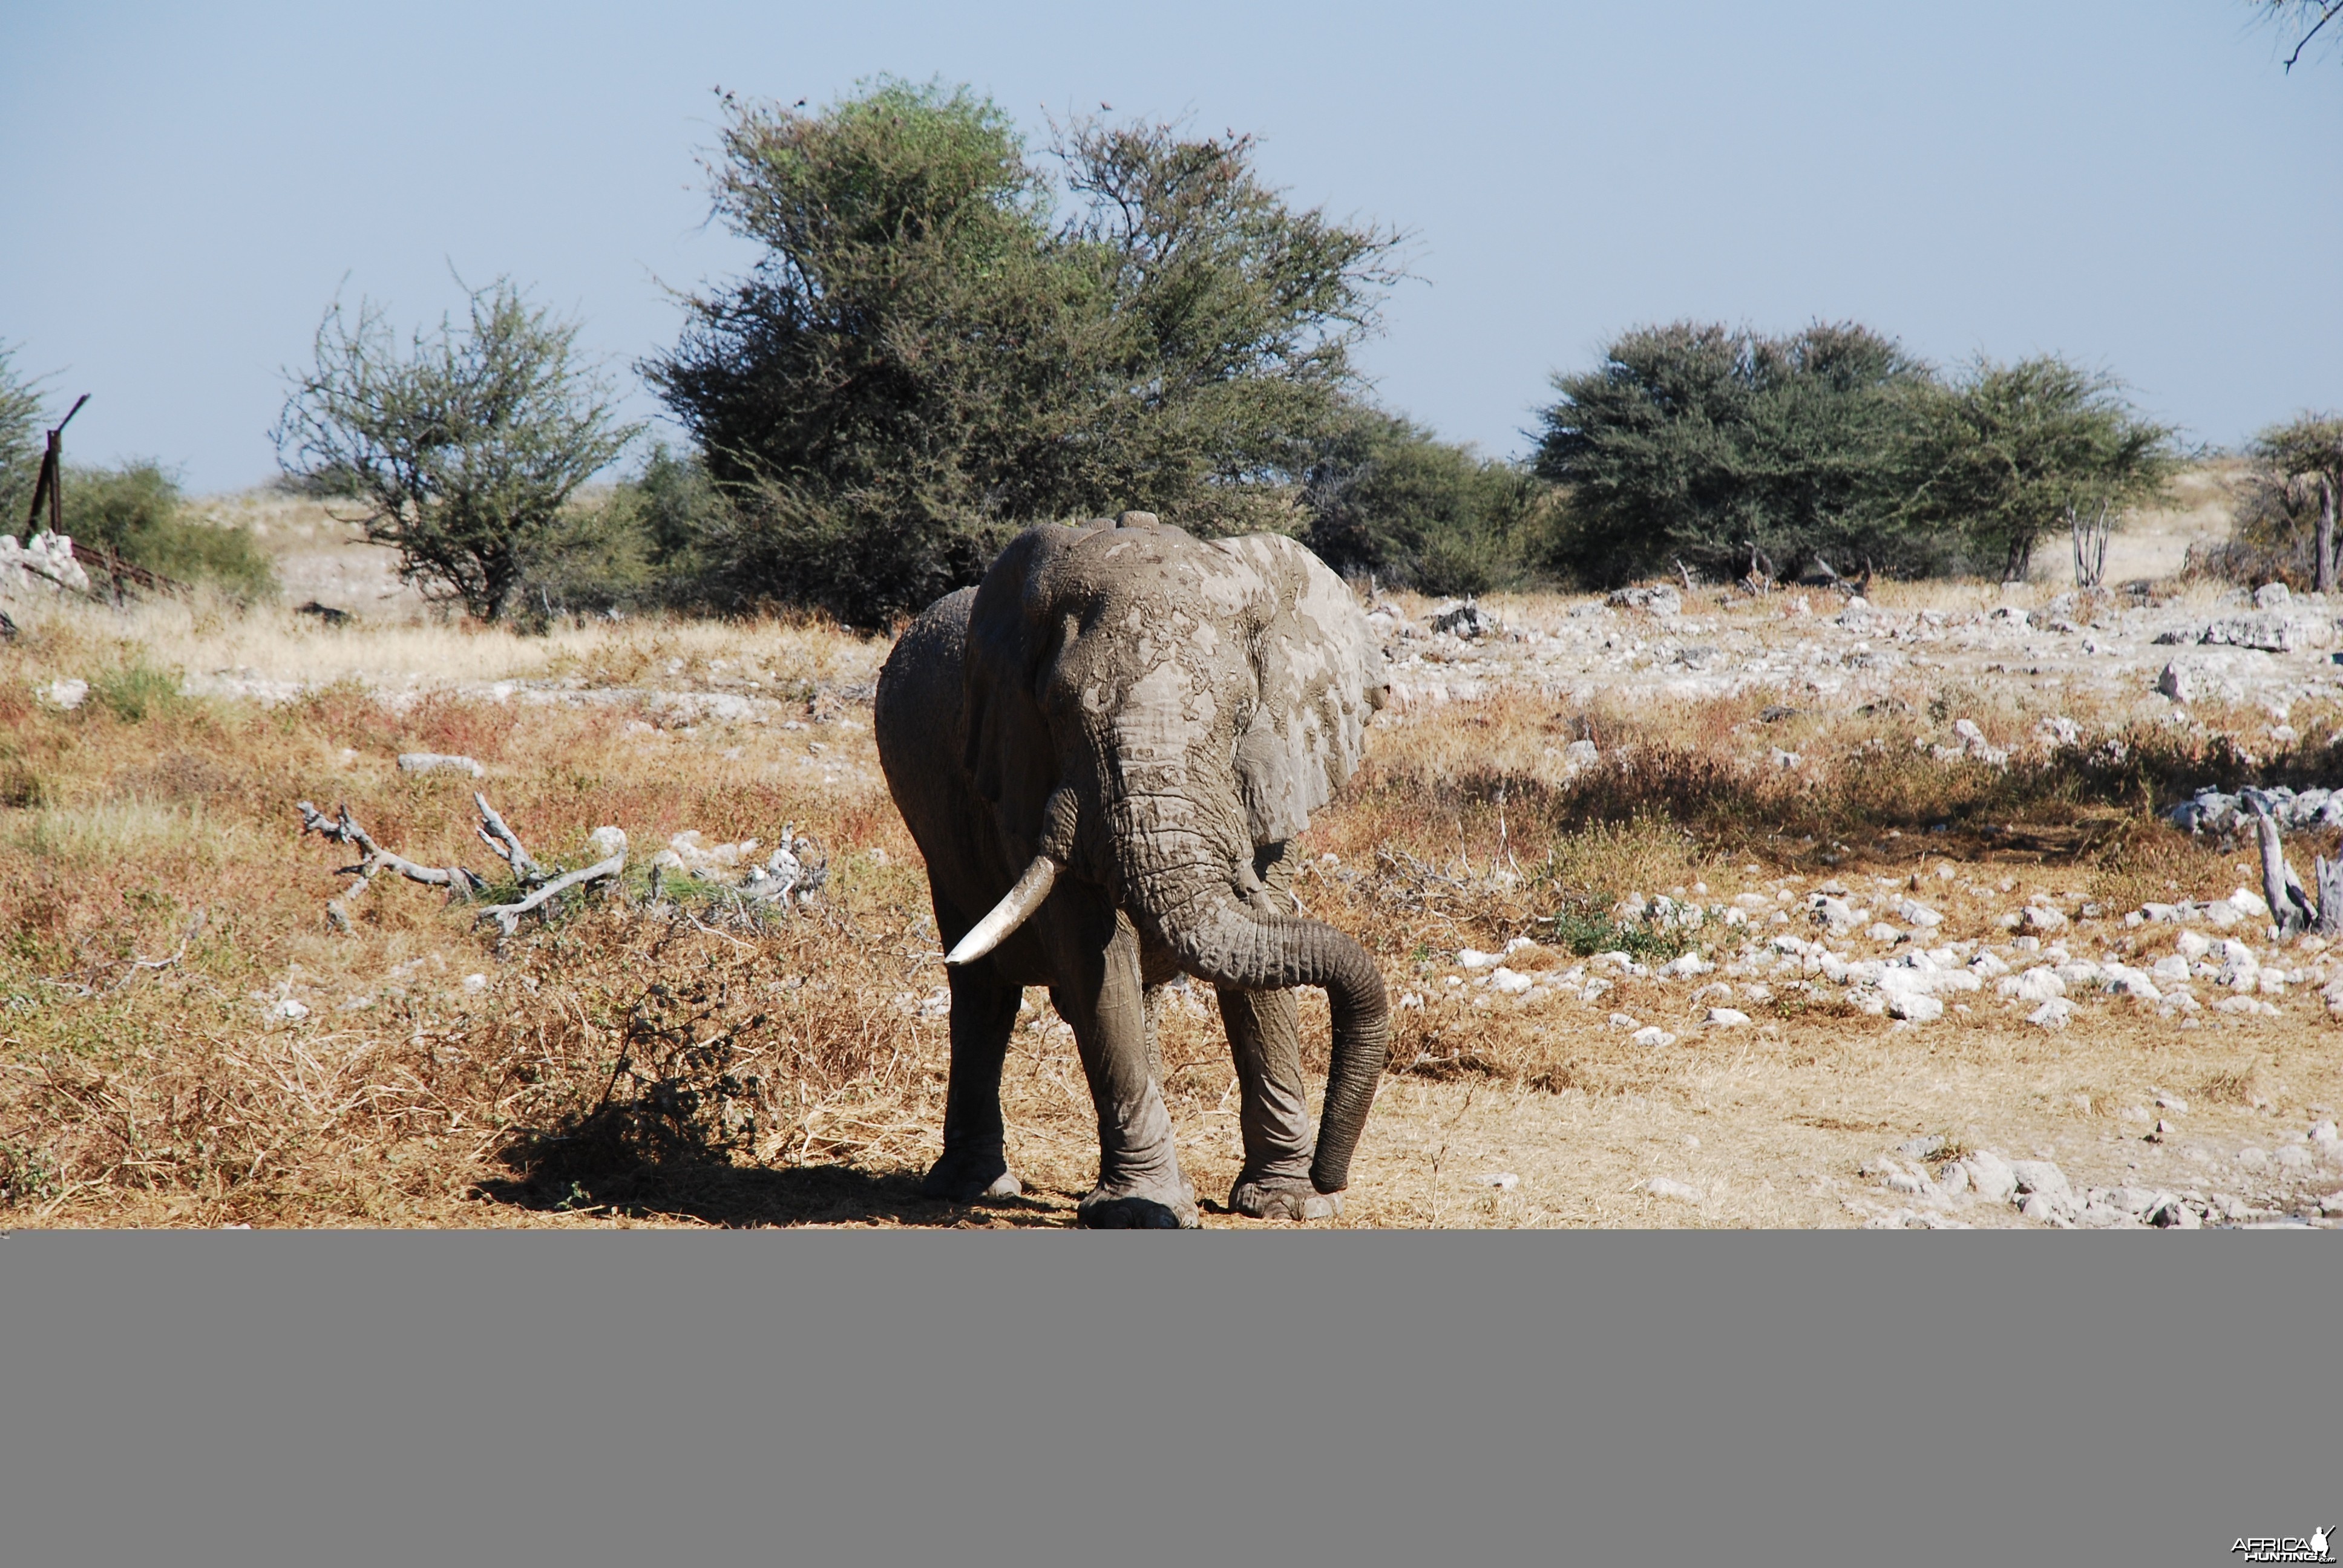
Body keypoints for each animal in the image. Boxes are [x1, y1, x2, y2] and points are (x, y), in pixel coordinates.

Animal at [876, 513, 1387, 1218]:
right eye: (1057, 711)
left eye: (1241, 714)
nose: (1330, 1173)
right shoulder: (1027, 769)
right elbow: (1094, 953)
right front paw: (1141, 1214)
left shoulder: (1279, 768)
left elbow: (1264, 951)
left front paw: (1291, 1205)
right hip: (937, 833)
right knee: (982, 992)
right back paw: (974, 1187)